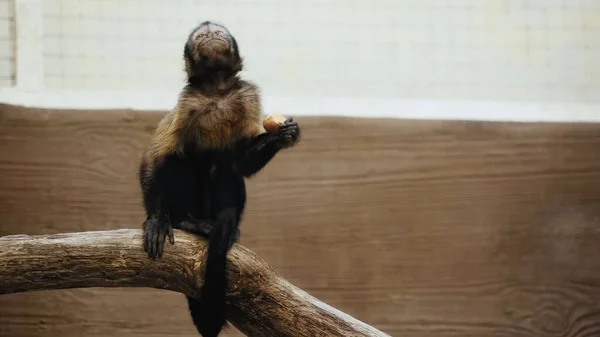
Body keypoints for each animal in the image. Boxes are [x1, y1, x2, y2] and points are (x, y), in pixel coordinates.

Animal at [139, 21, 302, 336]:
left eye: (219, 34)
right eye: (201, 37)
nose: (212, 34)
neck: (216, 90)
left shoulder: (247, 95)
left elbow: (240, 164)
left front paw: (281, 135)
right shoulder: (187, 102)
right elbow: (154, 158)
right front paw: (156, 220)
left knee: (223, 167)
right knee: (179, 160)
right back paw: (186, 222)